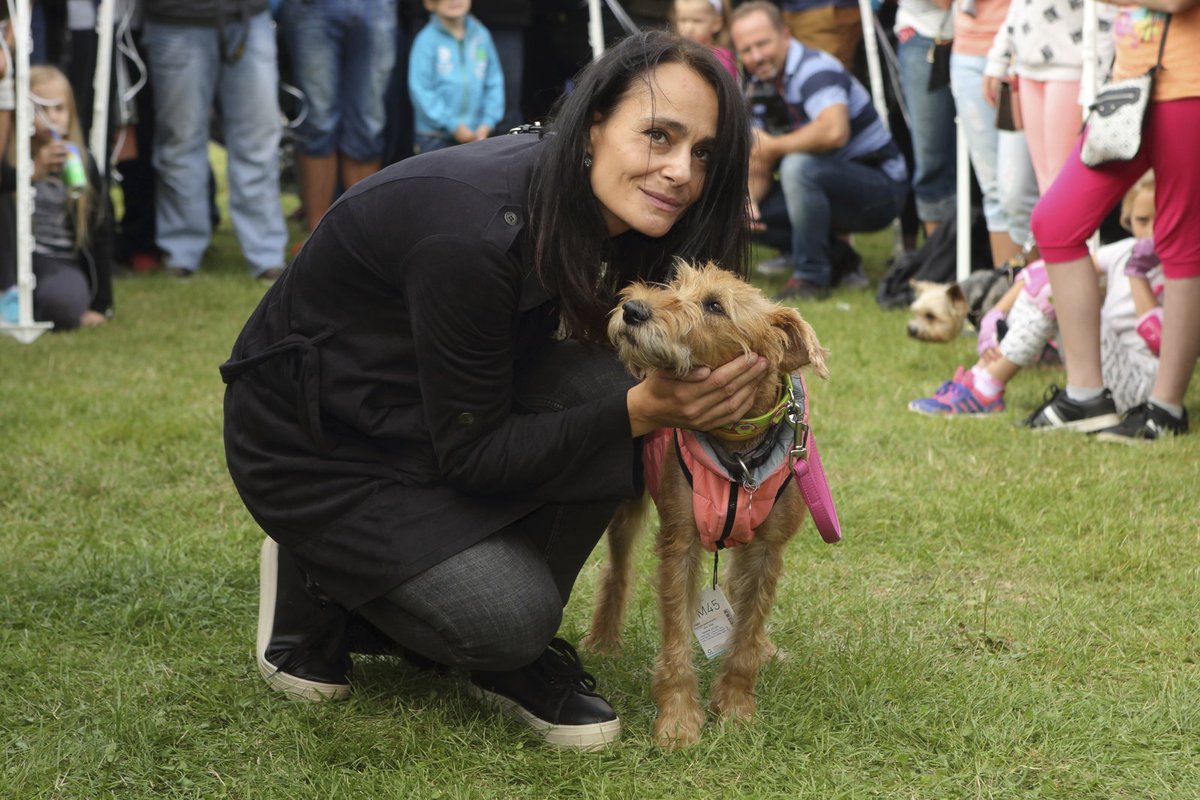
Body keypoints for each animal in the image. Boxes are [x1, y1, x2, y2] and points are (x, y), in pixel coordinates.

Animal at [585, 262, 830, 753]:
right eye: (675, 284)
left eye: (714, 305)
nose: (633, 308)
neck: (738, 450)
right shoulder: (680, 541)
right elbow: (677, 638)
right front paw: (678, 721)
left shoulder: (767, 550)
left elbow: (746, 636)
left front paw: (736, 708)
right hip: (626, 509)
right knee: (617, 571)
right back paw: (603, 639)